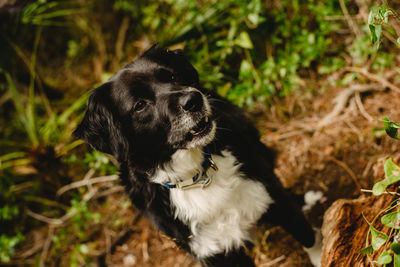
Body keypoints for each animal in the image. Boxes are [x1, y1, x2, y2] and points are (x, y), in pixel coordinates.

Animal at [74, 45, 316, 266]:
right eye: (140, 105)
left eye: (172, 76)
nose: (194, 100)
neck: (196, 175)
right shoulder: (212, 249)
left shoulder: (271, 195)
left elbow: (309, 237)